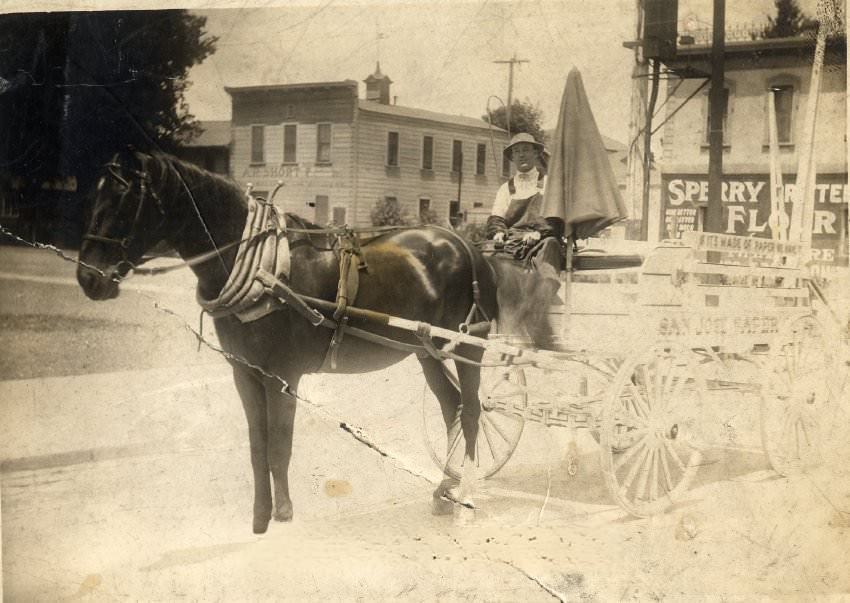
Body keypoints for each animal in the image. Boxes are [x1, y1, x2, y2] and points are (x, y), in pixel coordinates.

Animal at [78, 150, 556, 532]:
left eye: (124, 200)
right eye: (95, 196)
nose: (87, 277)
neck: (262, 270)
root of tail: (468, 246)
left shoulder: (281, 377)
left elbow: (279, 446)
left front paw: (284, 515)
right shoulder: (245, 373)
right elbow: (257, 447)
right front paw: (259, 519)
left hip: (469, 347)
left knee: (473, 412)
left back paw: (466, 499)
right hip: (426, 349)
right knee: (450, 406)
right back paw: (444, 490)